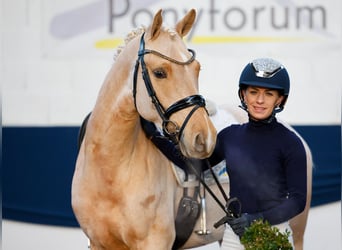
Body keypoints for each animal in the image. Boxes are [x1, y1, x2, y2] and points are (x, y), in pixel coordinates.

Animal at [72, 8, 227, 249]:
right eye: (159, 73)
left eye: (197, 69)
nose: (205, 138)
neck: (109, 172)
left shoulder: (154, 241)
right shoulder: (98, 243)